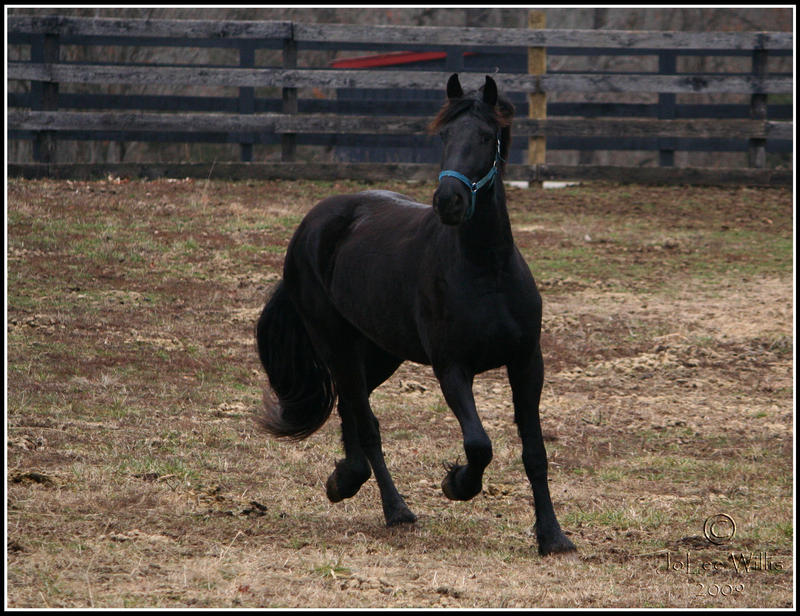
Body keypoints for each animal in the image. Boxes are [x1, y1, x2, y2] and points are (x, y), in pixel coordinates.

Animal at [256, 74, 576, 556]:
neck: (486, 269)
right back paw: (393, 508)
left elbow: (534, 452)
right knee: (365, 421)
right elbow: (478, 444)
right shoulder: (452, 368)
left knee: (352, 405)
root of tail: (314, 222)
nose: (449, 200)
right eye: (444, 135)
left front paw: (553, 536)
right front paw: (456, 483)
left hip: (381, 351)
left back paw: (344, 479)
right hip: (336, 342)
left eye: (486, 136)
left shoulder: (526, 363)